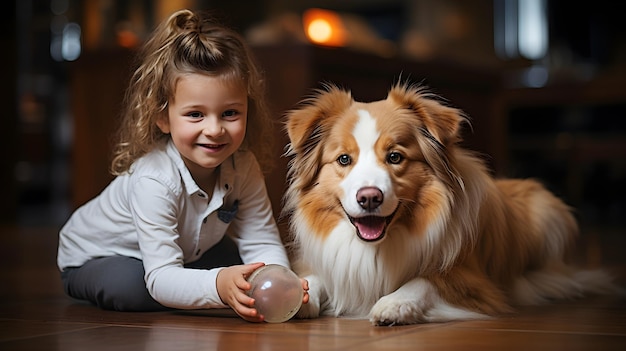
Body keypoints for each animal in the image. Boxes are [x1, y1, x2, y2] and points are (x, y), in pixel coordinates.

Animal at [282, 81, 620, 326]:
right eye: (343, 159)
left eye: (395, 157)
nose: (369, 198)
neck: (377, 247)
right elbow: (313, 276)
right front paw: (299, 292)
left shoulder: (473, 280)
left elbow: (425, 280)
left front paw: (395, 303)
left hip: (548, 212)